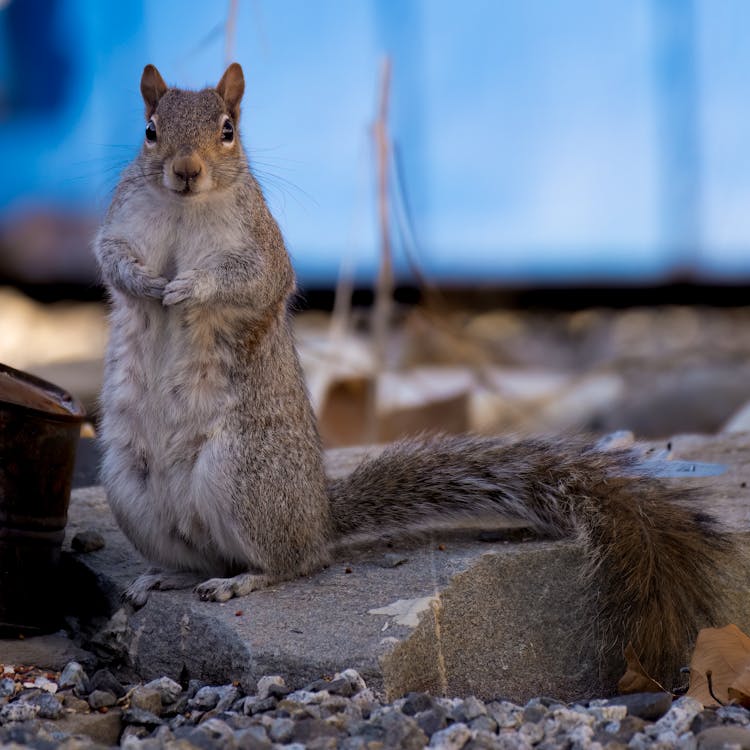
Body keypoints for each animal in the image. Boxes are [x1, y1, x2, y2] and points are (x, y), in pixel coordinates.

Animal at [94, 64, 736, 688]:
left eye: (228, 130)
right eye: (150, 130)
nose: (185, 171)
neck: (185, 210)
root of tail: (319, 518)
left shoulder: (260, 249)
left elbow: (245, 281)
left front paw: (187, 286)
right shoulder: (121, 223)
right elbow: (112, 258)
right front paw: (145, 282)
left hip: (242, 479)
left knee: (291, 563)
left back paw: (242, 580)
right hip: (133, 491)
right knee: (205, 556)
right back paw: (166, 578)